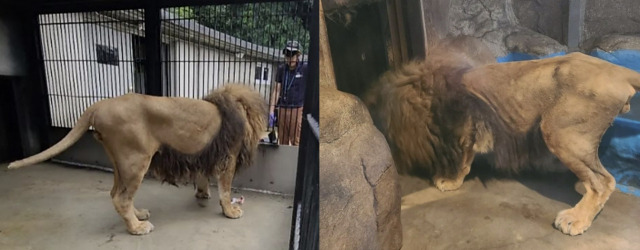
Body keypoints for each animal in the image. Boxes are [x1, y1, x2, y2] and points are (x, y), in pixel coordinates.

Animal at [7, 83, 268, 234]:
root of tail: (100, 105)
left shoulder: (205, 153)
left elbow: (203, 175)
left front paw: (203, 193)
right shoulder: (229, 156)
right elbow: (226, 189)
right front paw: (230, 211)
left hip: (120, 163)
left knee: (117, 193)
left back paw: (138, 214)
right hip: (136, 161)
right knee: (121, 198)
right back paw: (137, 227)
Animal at [364, 36, 640, 235]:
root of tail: (618, 70)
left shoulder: (466, 126)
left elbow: (462, 160)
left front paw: (449, 181)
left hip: (560, 131)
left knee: (603, 181)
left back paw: (575, 219)